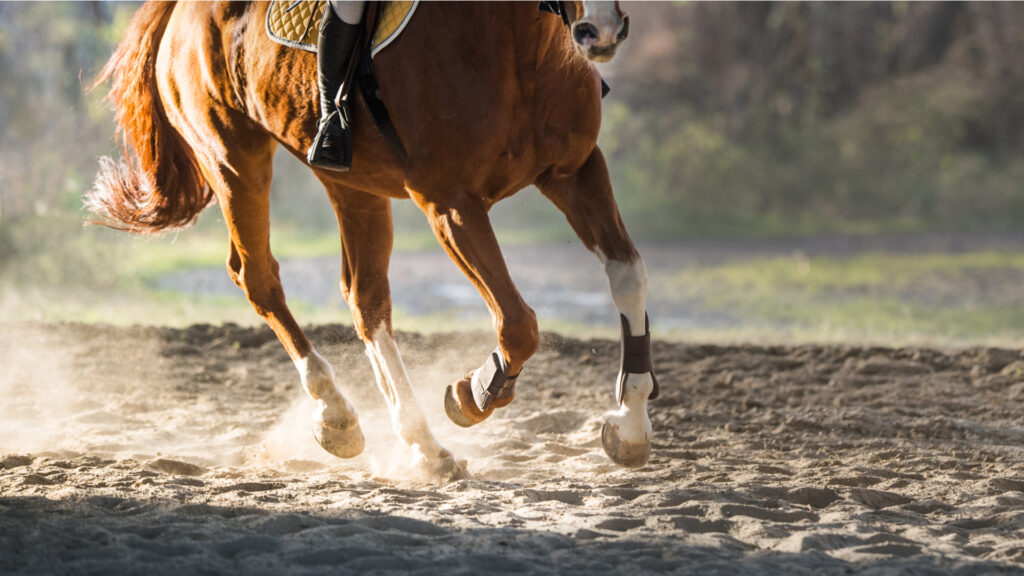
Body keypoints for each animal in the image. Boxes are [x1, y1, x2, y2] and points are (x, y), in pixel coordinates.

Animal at [92, 0, 659, 475]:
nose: (601, 31)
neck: (520, 44)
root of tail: (181, 9)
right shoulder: (450, 204)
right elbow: (518, 324)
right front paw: (473, 393)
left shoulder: (576, 172)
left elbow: (629, 276)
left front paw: (630, 424)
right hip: (234, 160)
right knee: (258, 278)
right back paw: (337, 414)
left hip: (349, 183)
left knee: (365, 299)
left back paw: (420, 445)